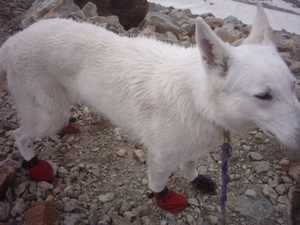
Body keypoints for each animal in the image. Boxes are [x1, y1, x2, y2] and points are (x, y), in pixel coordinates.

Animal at [0, 3, 300, 214]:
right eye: (263, 96)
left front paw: (195, 179)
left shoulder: (193, 146)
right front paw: (164, 198)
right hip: (48, 114)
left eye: (293, 86)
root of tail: (13, 40)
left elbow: (190, 164)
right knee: (20, 135)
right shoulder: (160, 158)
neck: (199, 100)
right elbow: (157, 185)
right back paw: (34, 163)